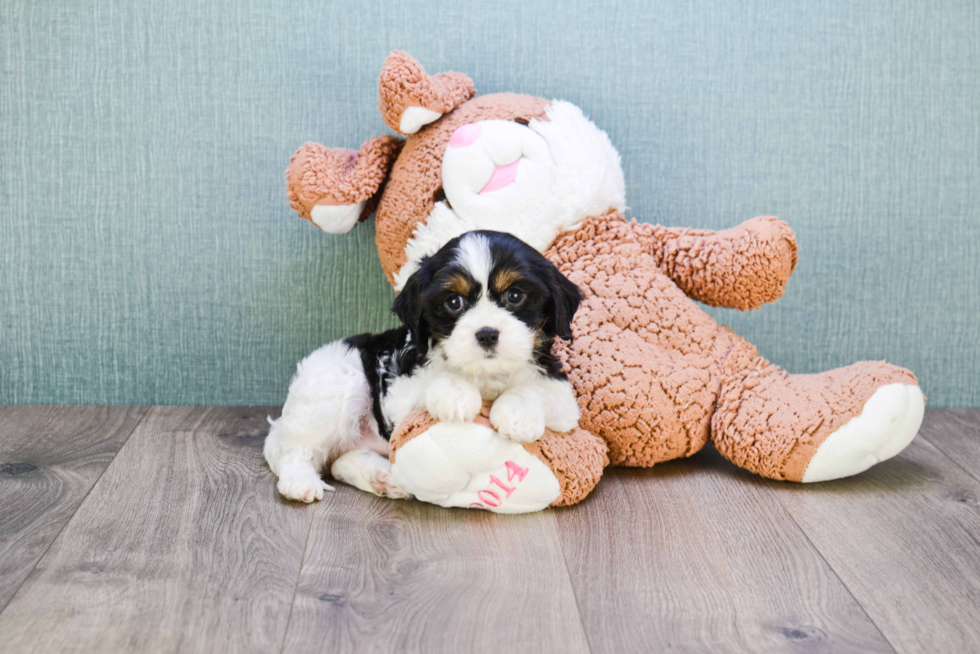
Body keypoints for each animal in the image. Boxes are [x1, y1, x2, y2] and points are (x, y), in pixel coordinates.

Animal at [262, 233, 580, 504]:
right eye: (454, 302)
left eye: (514, 296)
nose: (487, 334)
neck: (484, 374)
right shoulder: (401, 389)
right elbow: (437, 375)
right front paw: (457, 395)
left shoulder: (564, 401)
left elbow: (535, 387)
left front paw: (517, 415)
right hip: (334, 383)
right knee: (295, 449)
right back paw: (301, 482)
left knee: (338, 462)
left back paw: (381, 476)